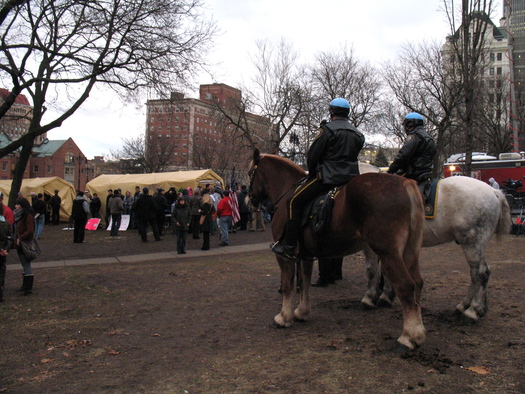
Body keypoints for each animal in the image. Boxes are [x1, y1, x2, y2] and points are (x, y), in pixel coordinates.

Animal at [249, 149, 426, 350]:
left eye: (251, 173)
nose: (250, 200)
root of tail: (405, 183)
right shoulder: (305, 255)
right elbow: (304, 282)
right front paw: (302, 312)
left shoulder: (286, 256)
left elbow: (288, 285)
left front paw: (283, 317)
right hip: (409, 253)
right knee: (417, 283)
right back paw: (416, 329)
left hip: (389, 253)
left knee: (406, 286)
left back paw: (408, 336)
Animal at [358, 174, 510, 322]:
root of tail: (494, 191)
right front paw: (385, 297)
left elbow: (372, 270)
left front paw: (369, 298)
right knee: (474, 273)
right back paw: (464, 306)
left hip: (472, 243)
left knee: (481, 273)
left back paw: (473, 311)